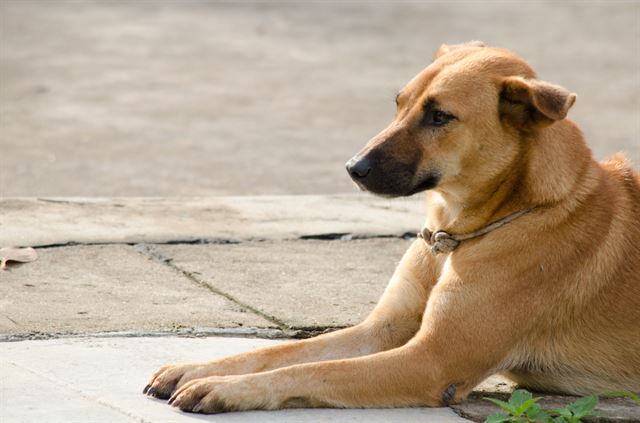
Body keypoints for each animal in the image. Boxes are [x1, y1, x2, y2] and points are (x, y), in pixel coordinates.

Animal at [142, 43, 636, 414]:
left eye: (439, 116)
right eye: (399, 103)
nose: (352, 168)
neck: (455, 233)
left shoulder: (430, 361)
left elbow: (312, 370)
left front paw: (227, 388)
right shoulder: (381, 330)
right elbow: (279, 353)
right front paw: (201, 368)